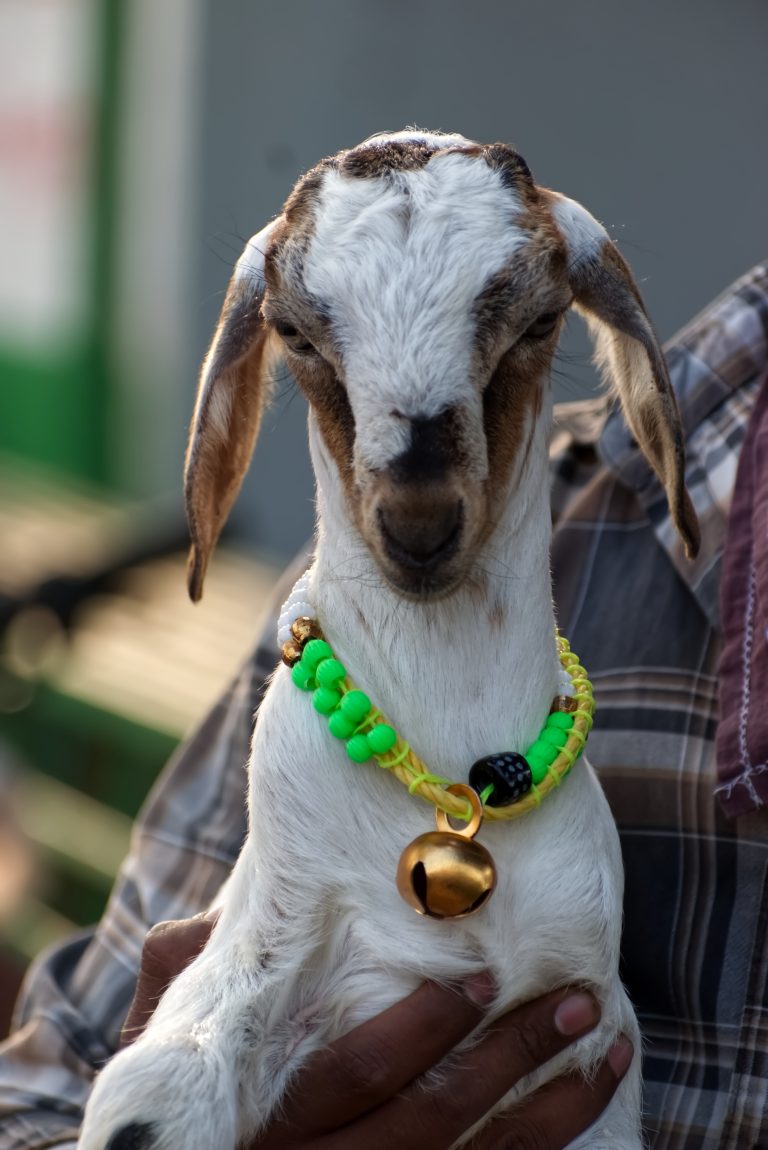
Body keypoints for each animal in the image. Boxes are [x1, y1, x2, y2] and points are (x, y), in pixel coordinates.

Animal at [78, 130, 703, 1150]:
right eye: (294, 333)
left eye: (538, 322)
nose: (418, 526)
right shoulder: (263, 944)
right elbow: (159, 1091)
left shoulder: (588, 1022)